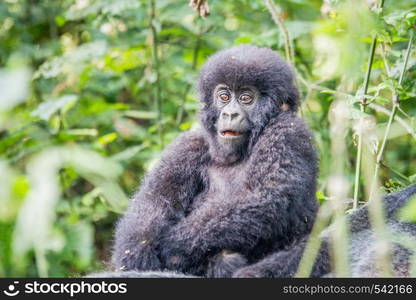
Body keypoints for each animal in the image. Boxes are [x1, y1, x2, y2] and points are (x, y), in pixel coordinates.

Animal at [112, 44, 316, 276]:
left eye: (246, 98)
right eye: (224, 97)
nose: (230, 114)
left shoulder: (289, 131)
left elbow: (266, 195)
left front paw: (174, 247)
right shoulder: (187, 146)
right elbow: (152, 203)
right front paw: (137, 254)